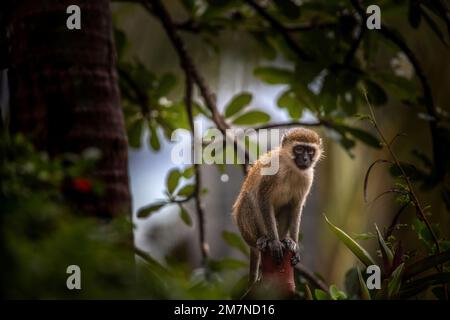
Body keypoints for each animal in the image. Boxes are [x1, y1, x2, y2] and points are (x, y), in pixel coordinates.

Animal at [232, 127, 324, 284]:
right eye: (299, 149)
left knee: (287, 207)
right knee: (250, 199)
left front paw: (294, 244)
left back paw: (285, 239)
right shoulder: (272, 170)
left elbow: (296, 207)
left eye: (310, 151)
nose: (305, 159)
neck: (291, 168)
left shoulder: (307, 178)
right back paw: (264, 239)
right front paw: (274, 242)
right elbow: (263, 200)